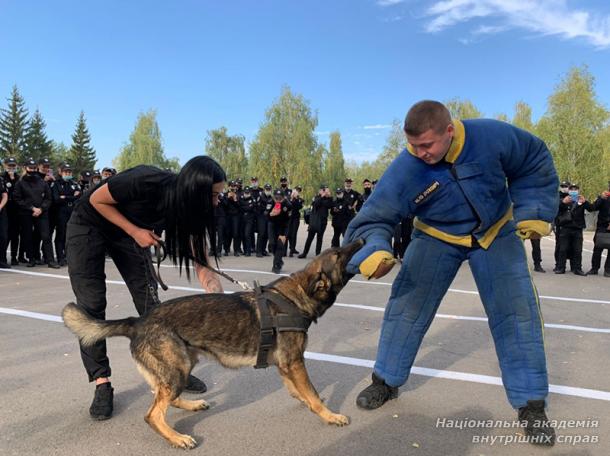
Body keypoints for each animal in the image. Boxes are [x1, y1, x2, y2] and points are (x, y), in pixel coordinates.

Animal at [63, 239, 360, 448]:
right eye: (338, 254)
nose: (360, 240)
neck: (296, 296)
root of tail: (136, 321)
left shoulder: (285, 365)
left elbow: (298, 391)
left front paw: (307, 401)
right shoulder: (295, 362)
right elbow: (312, 393)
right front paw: (330, 416)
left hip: (182, 365)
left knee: (164, 396)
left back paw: (191, 406)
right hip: (178, 368)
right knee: (153, 414)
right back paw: (177, 438)